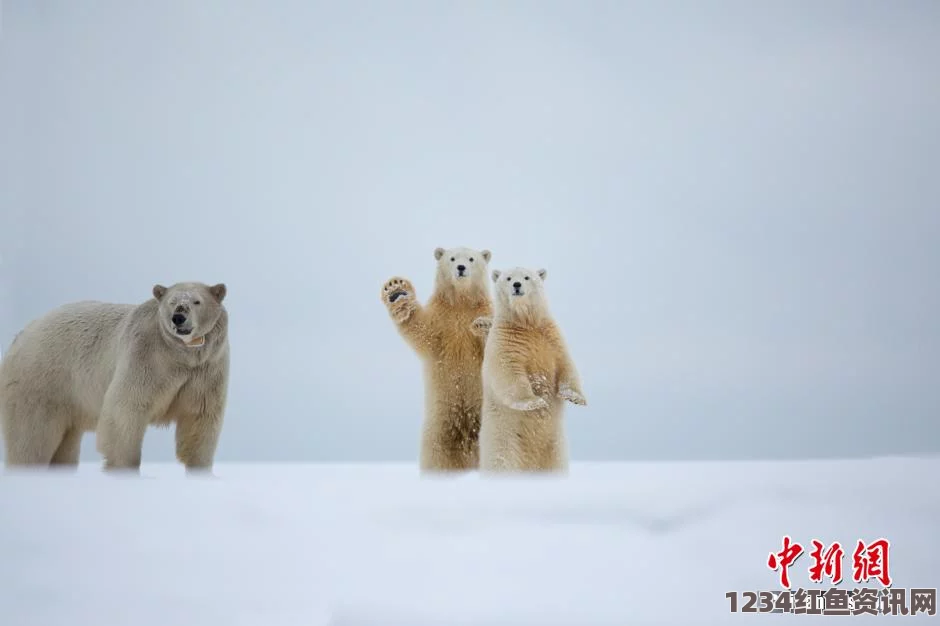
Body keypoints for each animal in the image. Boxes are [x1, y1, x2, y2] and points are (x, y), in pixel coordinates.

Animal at [0, 280, 230, 470]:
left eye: (197, 301)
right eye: (172, 302)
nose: (179, 318)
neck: (181, 356)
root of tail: (20, 335)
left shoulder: (206, 370)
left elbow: (200, 417)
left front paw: (200, 469)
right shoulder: (146, 358)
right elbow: (125, 409)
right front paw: (125, 467)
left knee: (64, 445)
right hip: (41, 382)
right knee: (32, 438)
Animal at [382, 246, 496, 470]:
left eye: (471, 259)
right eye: (452, 258)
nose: (461, 267)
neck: (461, 303)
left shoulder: (483, 310)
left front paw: (484, 325)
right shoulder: (441, 320)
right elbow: (421, 330)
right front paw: (396, 290)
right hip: (438, 429)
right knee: (436, 457)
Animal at [478, 264, 588, 472]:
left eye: (527, 277)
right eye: (508, 278)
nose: (517, 285)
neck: (526, 323)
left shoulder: (551, 336)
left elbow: (566, 363)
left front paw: (575, 397)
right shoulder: (506, 341)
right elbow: (509, 372)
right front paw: (535, 401)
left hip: (555, 445)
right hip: (502, 437)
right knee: (502, 460)